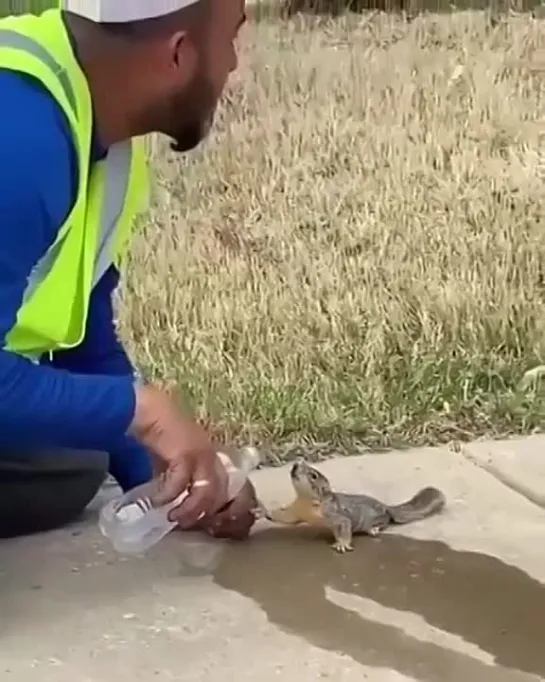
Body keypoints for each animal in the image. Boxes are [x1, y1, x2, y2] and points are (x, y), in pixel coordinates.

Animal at [258, 454, 444, 548]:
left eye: (313, 475)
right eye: (298, 463)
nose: (295, 466)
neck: (306, 500)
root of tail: (386, 507)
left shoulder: (334, 515)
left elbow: (345, 525)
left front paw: (342, 544)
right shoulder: (296, 511)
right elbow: (285, 518)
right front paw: (262, 511)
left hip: (375, 518)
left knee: (385, 522)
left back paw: (374, 529)